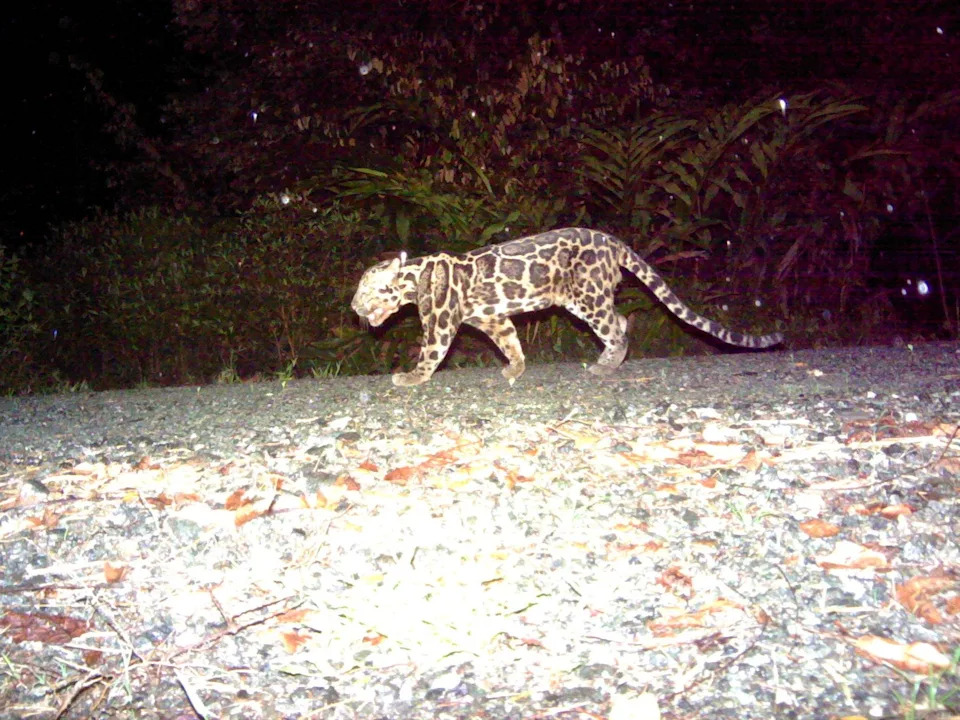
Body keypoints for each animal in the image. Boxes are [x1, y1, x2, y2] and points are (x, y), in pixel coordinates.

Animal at [351, 227, 783, 386]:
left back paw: (606, 365)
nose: (354, 307)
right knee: (620, 319)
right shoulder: (492, 318)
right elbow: (510, 340)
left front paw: (411, 377)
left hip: (586, 296)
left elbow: (432, 351)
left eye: (364, 291)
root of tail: (613, 241)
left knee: (616, 326)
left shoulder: (440, 320)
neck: (413, 277)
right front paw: (516, 368)